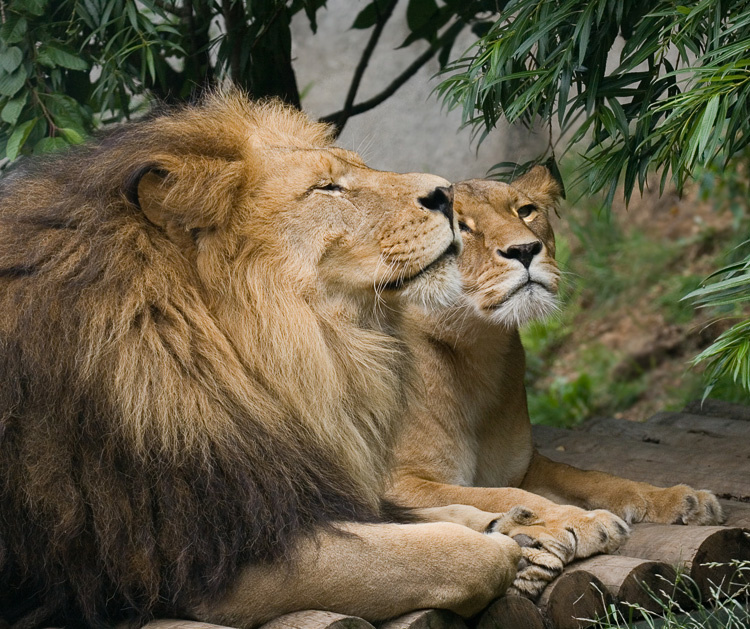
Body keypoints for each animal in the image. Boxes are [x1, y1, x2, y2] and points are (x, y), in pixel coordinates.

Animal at [0, 91, 531, 629]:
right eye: (325, 187)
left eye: (358, 168)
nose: (447, 194)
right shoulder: (202, 559)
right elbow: (417, 557)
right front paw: (496, 547)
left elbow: (407, 512)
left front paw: (505, 520)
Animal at [387, 166, 724, 597]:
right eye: (458, 225)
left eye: (525, 211)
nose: (525, 250)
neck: (476, 353)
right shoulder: (398, 484)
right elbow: (504, 495)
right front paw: (581, 521)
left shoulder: (525, 465)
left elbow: (593, 477)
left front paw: (682, 499)